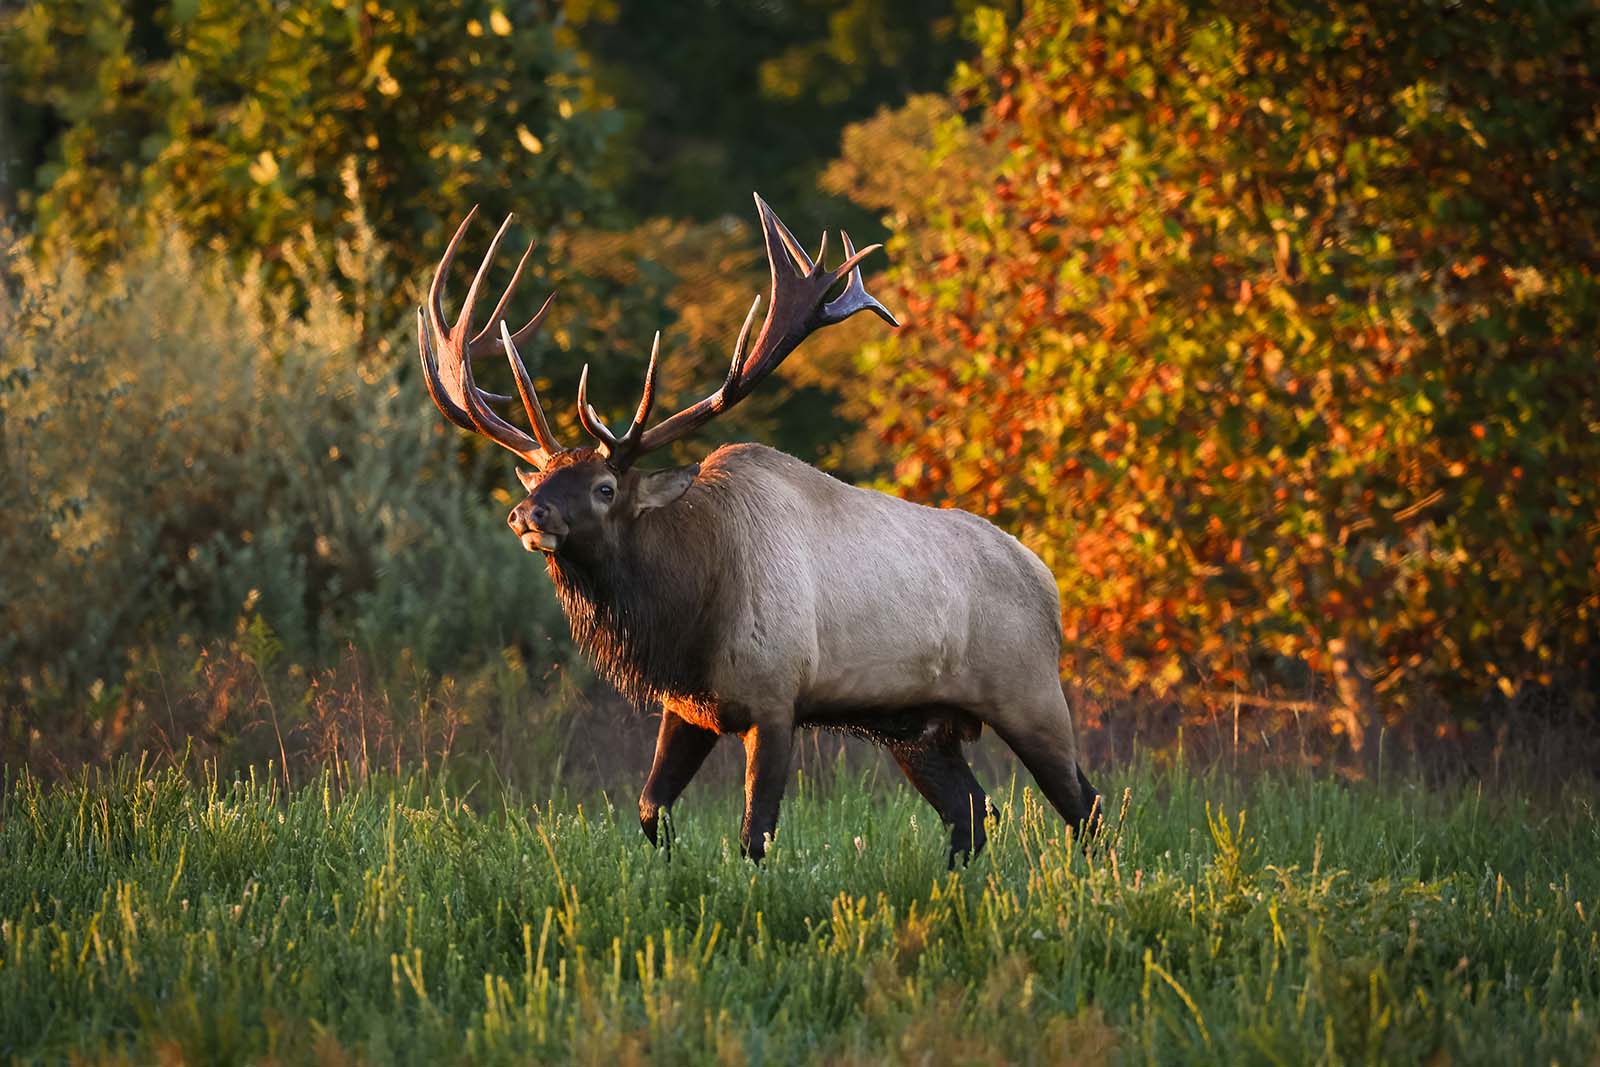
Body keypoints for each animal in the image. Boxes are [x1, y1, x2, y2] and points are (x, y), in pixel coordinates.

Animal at [416, 194, 1099, 866]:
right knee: (975, 812)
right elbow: (650, 810)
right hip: (918, 726)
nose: (527, 515)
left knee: (1084, 804)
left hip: (1030, 691)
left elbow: (755, 834)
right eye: (537, 480)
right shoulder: (686, 708)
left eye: (605, 487)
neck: (686, 616)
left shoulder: (775, 697)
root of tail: (1048, 581)